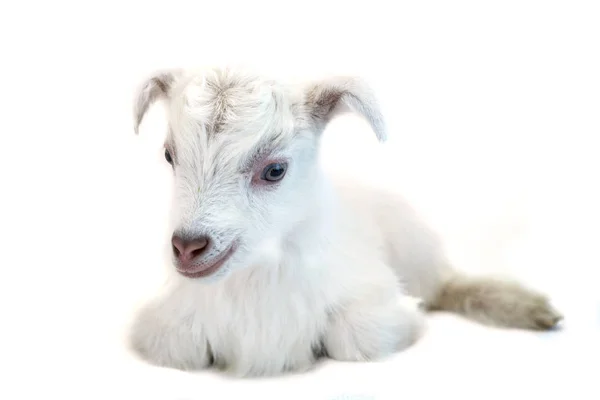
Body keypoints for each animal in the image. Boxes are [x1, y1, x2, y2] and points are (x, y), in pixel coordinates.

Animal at [127, 66, 564, 378]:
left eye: (275, 170)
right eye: (169, 155)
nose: (187, 247)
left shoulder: (374, 306)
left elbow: (356, 334)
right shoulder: (165, 329)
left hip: (416, 246)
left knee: (448, 285)